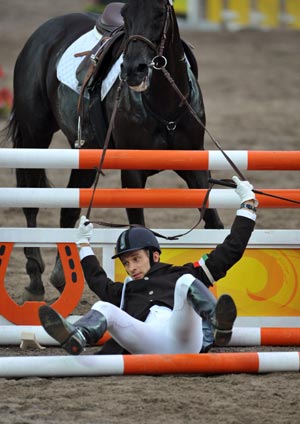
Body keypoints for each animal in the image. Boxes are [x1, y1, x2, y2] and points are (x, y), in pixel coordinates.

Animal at [5, 0, 223, 300]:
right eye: (126, 14)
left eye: (159, 13)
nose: (133, 70)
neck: (163, 103)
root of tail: (45, 31)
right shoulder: (132, 173)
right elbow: (139, 226)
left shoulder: (195, 167)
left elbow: (214, 224)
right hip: (34, 136)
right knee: (31, 201)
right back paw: (35, 280)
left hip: (85, 153)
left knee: (68, 209)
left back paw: (62, 277)